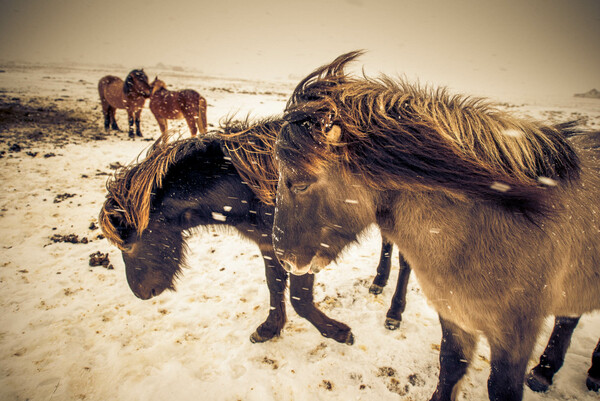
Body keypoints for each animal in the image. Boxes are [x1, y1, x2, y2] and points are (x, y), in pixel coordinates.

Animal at [98, 115, 408, 344]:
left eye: (129, 245)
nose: (141, 293)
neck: (251, 188)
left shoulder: (303, 253)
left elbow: (300, 299)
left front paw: (338, 333)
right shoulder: (270, 246)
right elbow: (274, 285)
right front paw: (270, 328)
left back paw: (394, 313)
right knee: (388, 244)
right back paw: (378, 281)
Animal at [274, 50, 600, 400]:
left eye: (301, 183)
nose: (282, 257)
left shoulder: (515, 337)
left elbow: (500, 387)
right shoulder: (456, 317)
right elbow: (450, 367)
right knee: (568, 318)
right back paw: (544, 372)